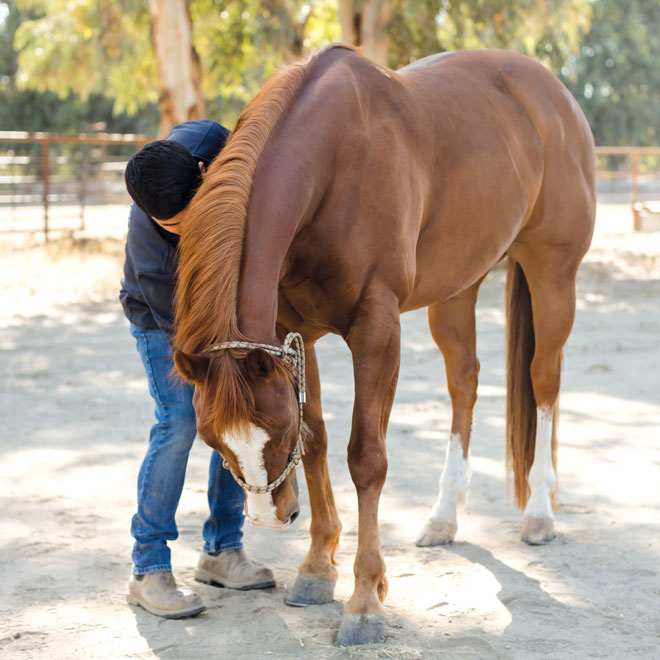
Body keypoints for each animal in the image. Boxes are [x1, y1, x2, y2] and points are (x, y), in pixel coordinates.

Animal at [173, 45, 596, 644]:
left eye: (274, 432)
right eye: (212, 438)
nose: (268, 517)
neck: (333, 169)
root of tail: (552, 92)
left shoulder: (377, 330)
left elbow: (365, 458)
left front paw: (365, 599)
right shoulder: (292, 335)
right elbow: (319, 439)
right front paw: (315, 568)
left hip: (553, 275)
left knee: (543, 380)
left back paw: (540, 512)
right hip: (458, 287)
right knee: (464, 382)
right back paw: (444, 516)